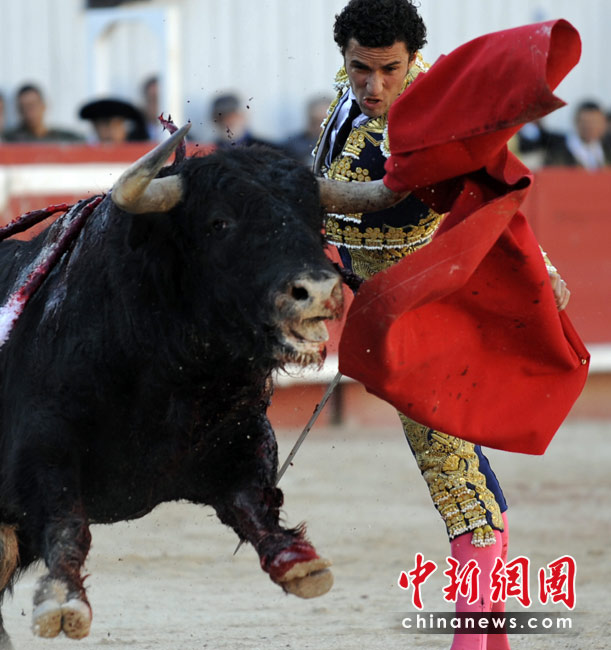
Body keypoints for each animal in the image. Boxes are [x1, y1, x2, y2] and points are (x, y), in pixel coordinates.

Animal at [0, 124, 346, 646]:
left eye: (317, 222)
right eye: (219, 223)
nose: (319, 291)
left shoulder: (242, 439)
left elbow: (253, 499)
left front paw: (298, 562)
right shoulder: (40, 447)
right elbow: (65, 520)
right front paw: (62, 600)